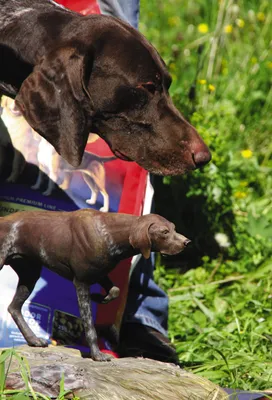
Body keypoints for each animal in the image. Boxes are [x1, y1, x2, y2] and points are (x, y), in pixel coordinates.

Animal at [0, 211, 190, 360]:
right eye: (164, 232)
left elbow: (115, 290)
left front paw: (100, 297)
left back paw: (33, 340)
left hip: (29, 275)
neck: (110, 233)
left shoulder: (100, 274)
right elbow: (90, 326)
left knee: (14, 308)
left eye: (173, 228)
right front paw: (97, 355)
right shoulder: (81, 283)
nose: (187, 242)